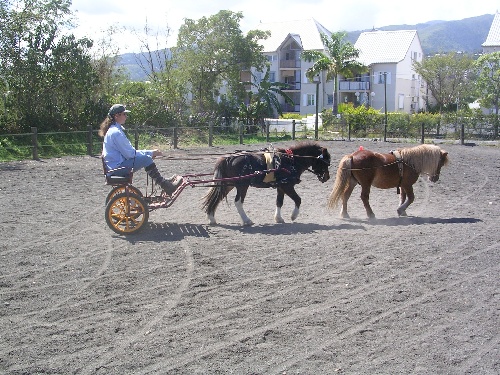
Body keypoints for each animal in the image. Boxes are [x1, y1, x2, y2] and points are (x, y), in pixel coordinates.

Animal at [201, 142, 330, 226]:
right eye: (326, 162)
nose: (327, 178)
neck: (291, 160)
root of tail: (228, 158)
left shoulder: (281, 187)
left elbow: (279, 202)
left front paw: (278, 218)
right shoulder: (287, 186)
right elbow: (298, 199)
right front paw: (293, 216)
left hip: (228, 184)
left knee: (216, 198)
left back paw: (211, 218)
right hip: (242, 185)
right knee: (238, 202)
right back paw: (246, 220)